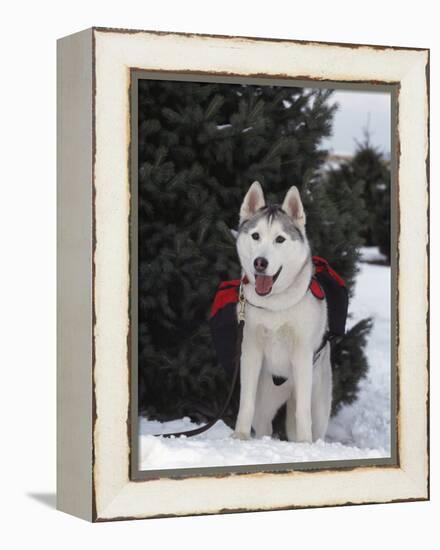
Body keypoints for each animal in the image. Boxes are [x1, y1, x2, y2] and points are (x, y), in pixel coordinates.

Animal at [234, 181, 330, 444]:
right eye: (256, 236)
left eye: (280, 239)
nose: (260, 263)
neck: (275, 304)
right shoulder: (250, 351)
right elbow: (245, 403)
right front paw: (239, 437)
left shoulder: (302, 355)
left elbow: (302, 413)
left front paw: (304, 445)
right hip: (265, 396)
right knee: (264, 424)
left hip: (317, 399)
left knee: (309, 418)